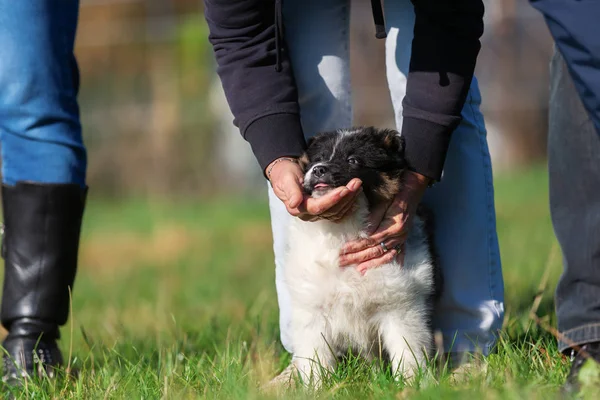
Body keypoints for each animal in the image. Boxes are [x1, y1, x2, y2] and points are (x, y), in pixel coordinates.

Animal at [284, 126, 442, 386]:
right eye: (317, 159)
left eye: (353, 160)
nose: (318, 169)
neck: (343, 230)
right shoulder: (312, 311)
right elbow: (316, 360)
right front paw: (317, 388)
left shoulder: (400, 307)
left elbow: (407, 353)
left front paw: (413, 385)